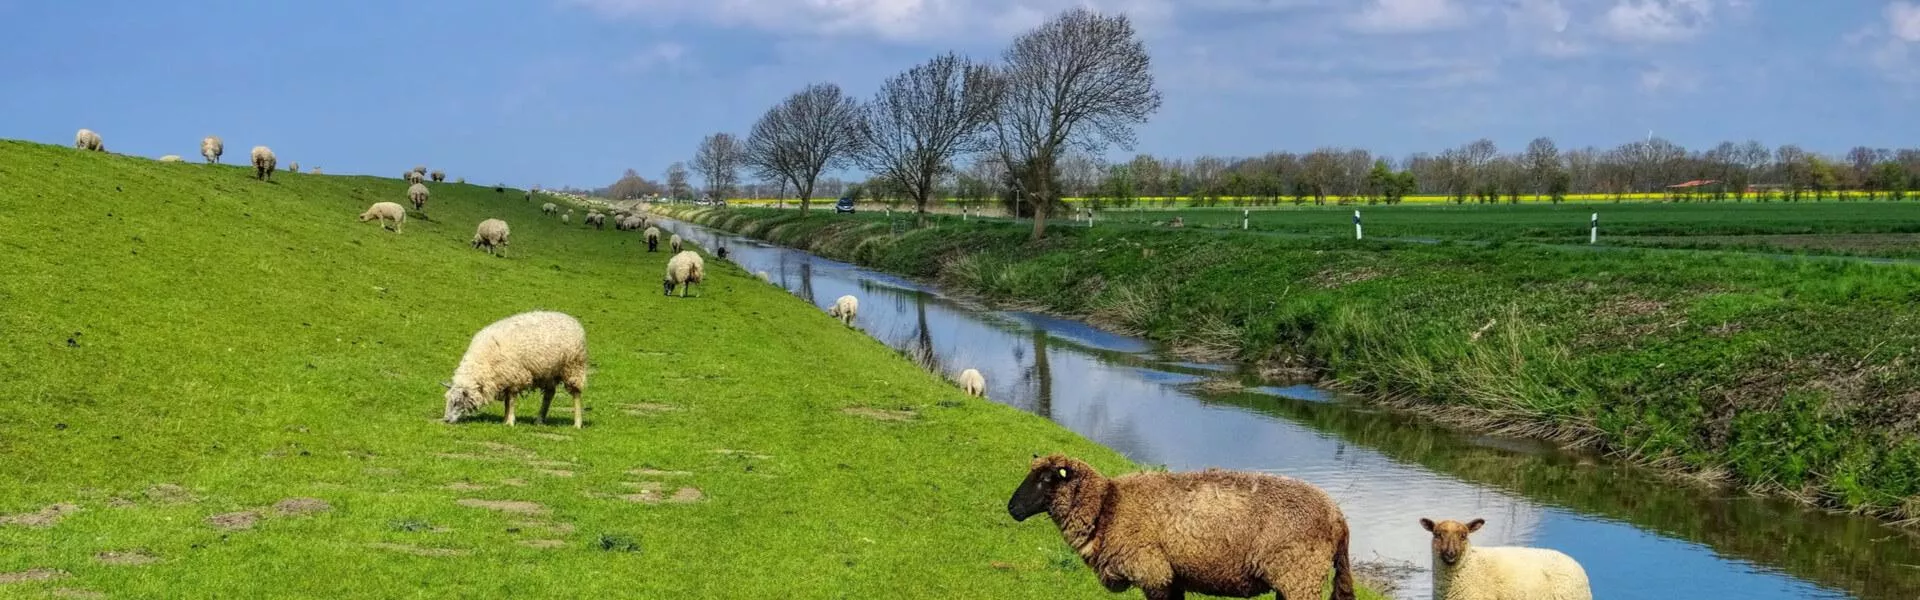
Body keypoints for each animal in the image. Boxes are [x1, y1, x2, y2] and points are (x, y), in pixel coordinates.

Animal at [443, 311, 587, 428]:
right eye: (448, 400)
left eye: (457, 402)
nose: (446, 420)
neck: (483, 363)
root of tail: (572, 320)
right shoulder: (505, 378)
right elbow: (507, 402)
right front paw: (505, 420)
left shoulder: (514, 377)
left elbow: (511, 401)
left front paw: (510, 421)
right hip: (549, 372)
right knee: (549, 394)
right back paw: (539, 420)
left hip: (573, 366)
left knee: (576, 394)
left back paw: (577, 423)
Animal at [1006, 453, 1351, 600]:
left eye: (1046, 478)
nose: (1012, 508)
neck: (1107, 506)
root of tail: (1339, 517)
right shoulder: (1172, 578)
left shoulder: (1153, 573)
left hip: (1300, 577)